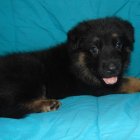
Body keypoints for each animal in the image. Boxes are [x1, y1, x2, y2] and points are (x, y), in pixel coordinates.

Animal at [0, 17, 140, 118]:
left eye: (118, 44)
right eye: (93, 49)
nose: (112, 69)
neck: (78, 63)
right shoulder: (98, 88)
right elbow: (130, 81)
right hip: (31, 69)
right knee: (10, 107)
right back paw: (47, 103)